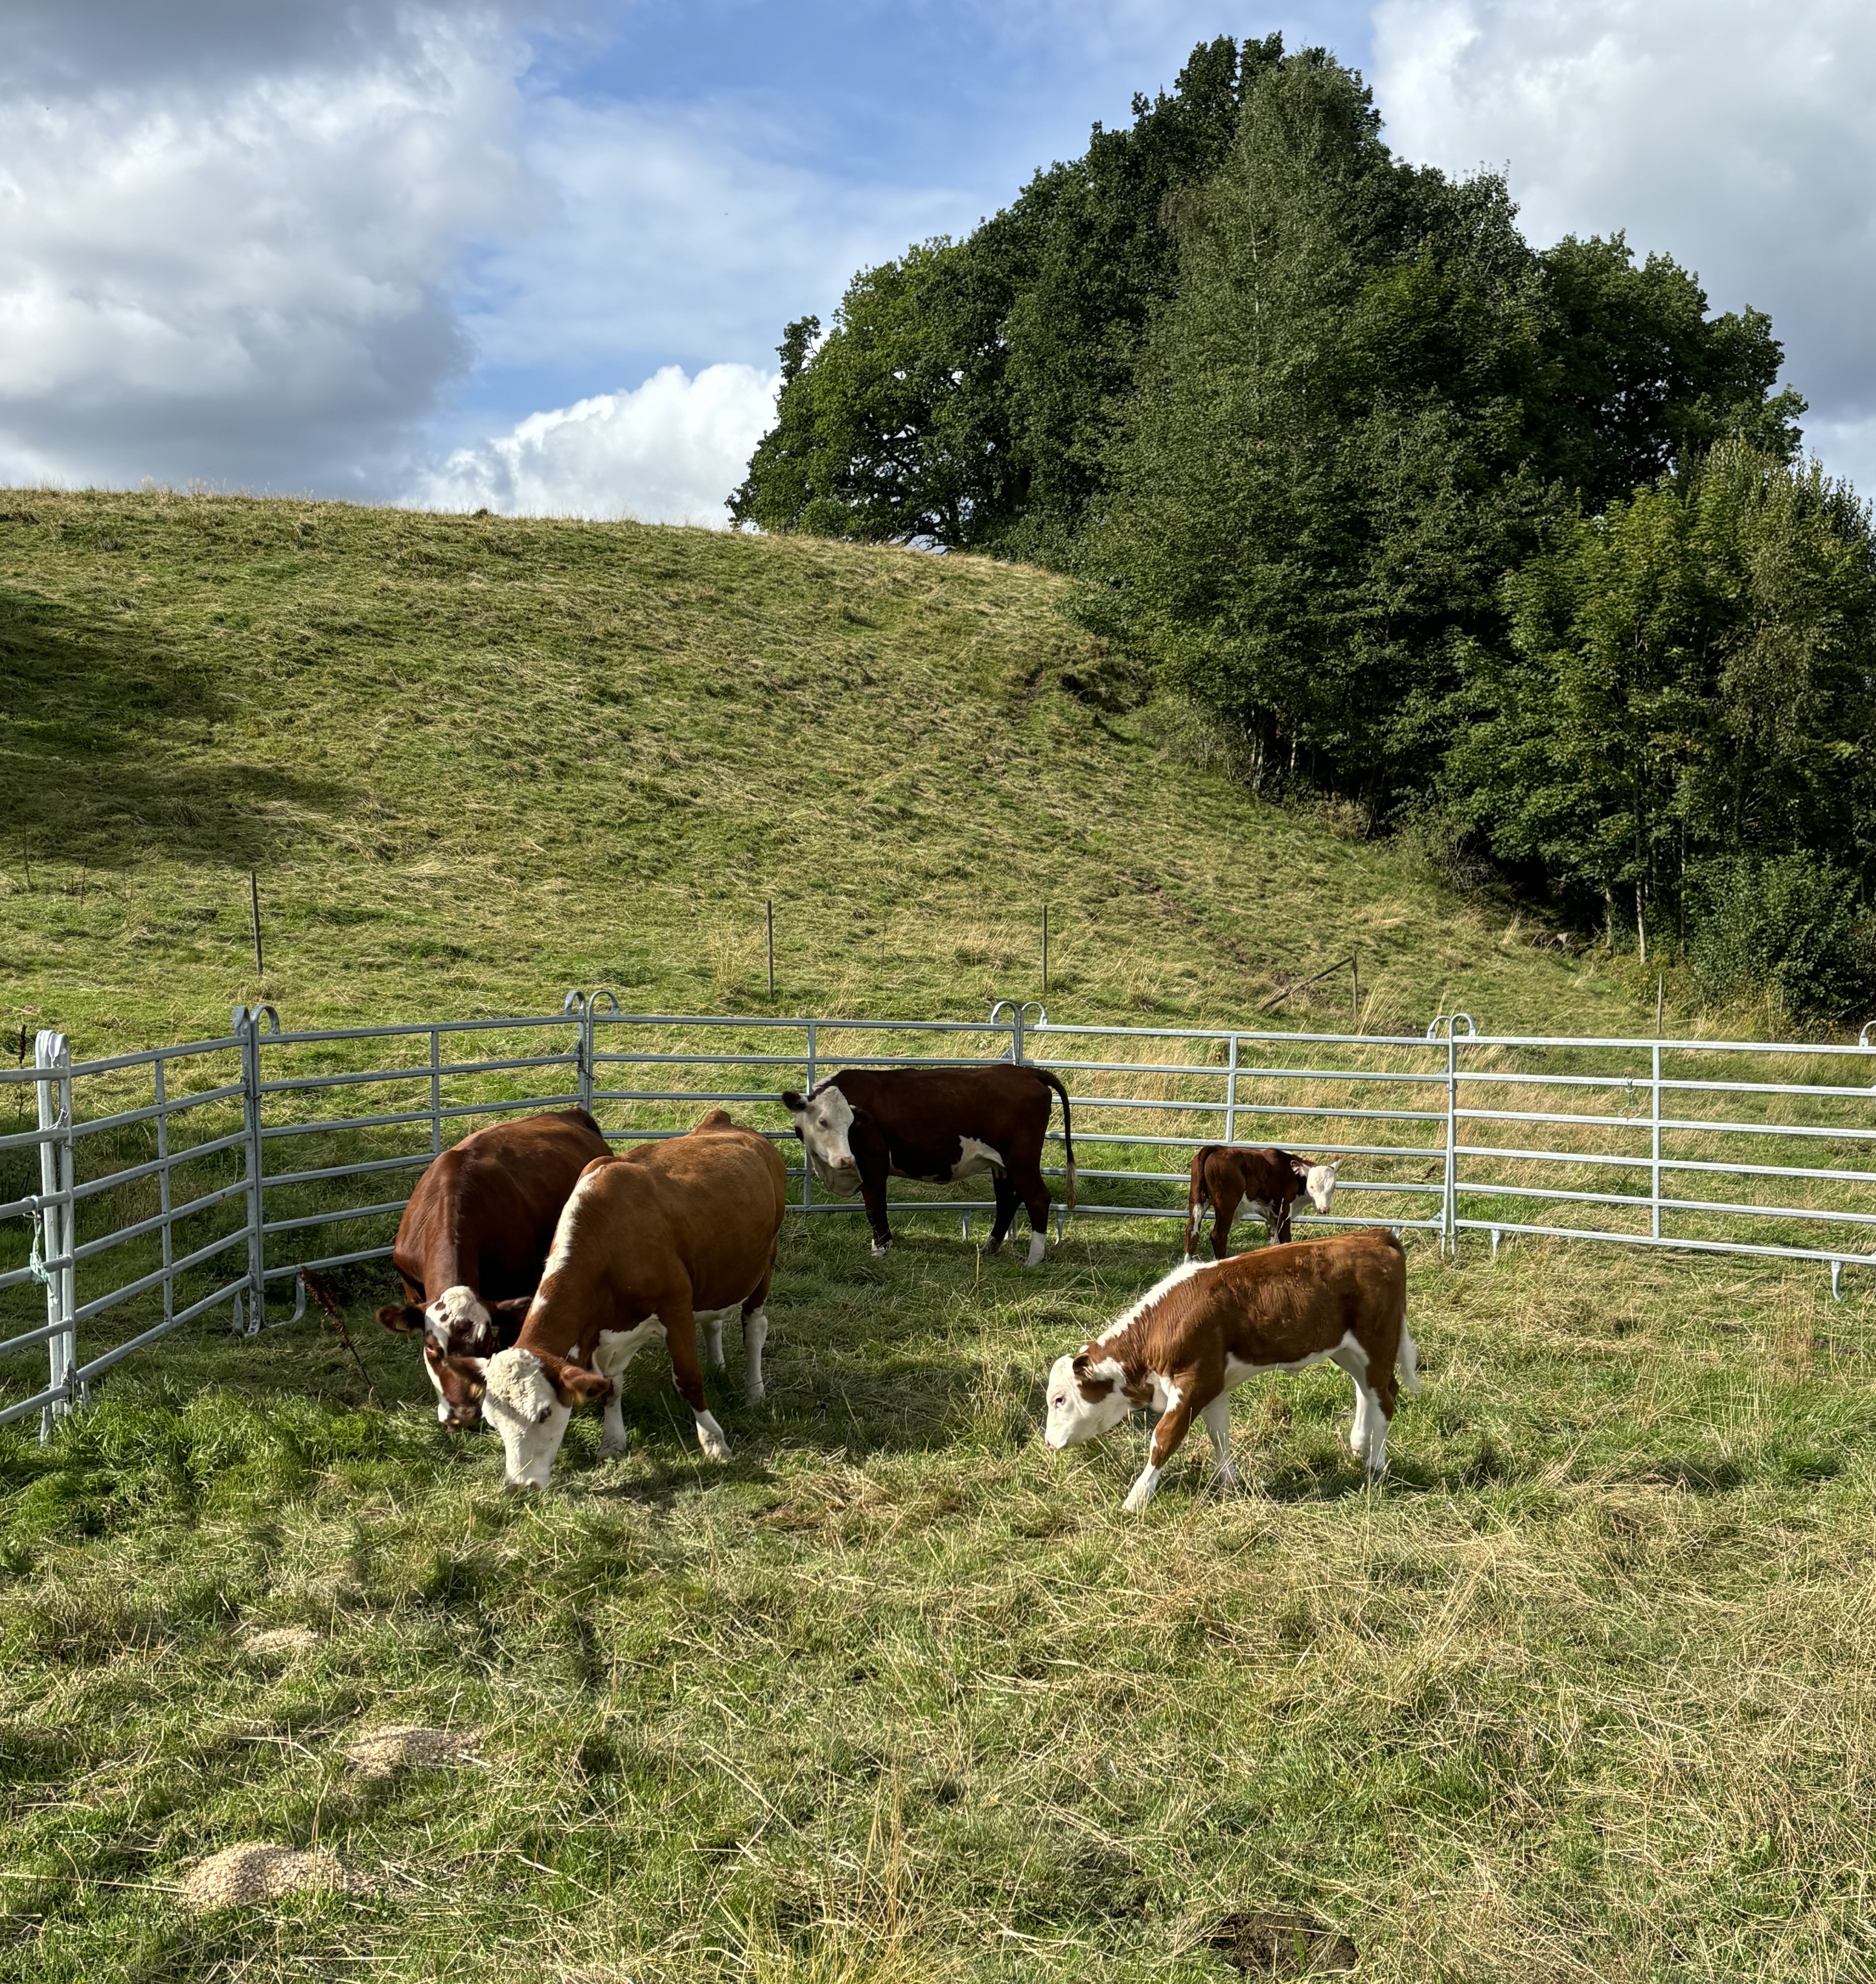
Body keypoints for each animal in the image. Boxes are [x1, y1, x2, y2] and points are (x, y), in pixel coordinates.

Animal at [435, 1110, 788, 1489]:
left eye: (545, 1412)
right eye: (492, 1420)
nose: (520, 1484)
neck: (607, 1240)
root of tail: (722, 1120)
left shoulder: (675, 1307)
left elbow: (689, 1379)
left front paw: (715, 1442)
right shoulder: (604, 1330)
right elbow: (610, 1387)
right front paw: (612, 1442)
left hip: (765, 1263)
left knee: (754, 1327)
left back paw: (754, 1392)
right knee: (712, 1320)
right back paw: (718, 1365)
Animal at [780, 1063, 1076, 1264]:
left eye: (851, 1125)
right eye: (823, 1122)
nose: (846, 1159)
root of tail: (1026, 1072)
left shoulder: (873, 1162)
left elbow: (875, 1208)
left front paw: (881, 1249)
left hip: (1022, 1160)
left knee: (1037, 1198)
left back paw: (1033, 1260)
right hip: (1002, 1165)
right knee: (1007, 1200)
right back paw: (989, 1248)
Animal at [1042, 1227, 1416, 1511]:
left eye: (1060, 1400)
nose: (1048, 1442)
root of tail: (1373, 1236)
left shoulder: (1195, 1382)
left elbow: (1163, 1438)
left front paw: (1136, 1499)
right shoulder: (1213, 1387)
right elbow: (1219, 1435)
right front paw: (1229, 1485)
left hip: (1377, 1343)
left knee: (1385, 1397)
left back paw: (1375, 1465)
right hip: (1345, 1349)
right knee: (1365, 1390)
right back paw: (1358, 1446)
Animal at [1184, 1145, 1338, 1259]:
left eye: (1333, 1186)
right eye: (1312, 1186)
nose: (1324, 1209)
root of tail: (1215, 1148)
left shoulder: (1270, 1215)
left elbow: (1274, 1241)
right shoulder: (1283, 1210)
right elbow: (1285, 1239)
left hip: (1198, 1201)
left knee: (1192, 1232)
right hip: (1226, 1206)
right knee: (1218, 1236)